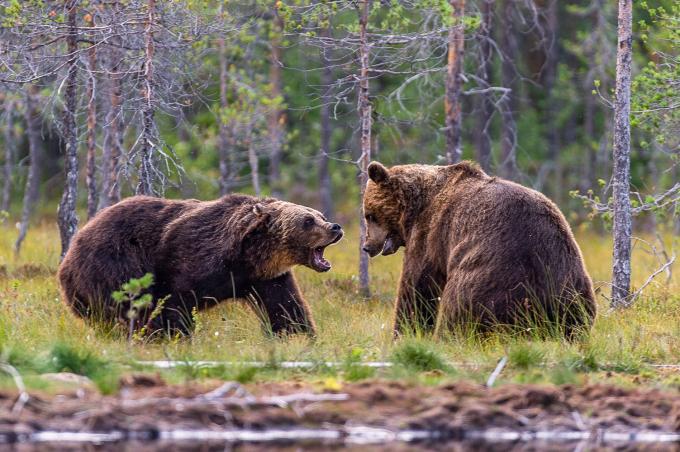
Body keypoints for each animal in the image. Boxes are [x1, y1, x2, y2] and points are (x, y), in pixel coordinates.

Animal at [57, 194, 342, 336]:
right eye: (307, 221)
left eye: (320, 215)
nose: (335, 227)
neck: (246, 256)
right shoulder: (190, 258)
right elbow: (174, 302)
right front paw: (171, 335)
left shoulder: (266, 278)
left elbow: (285, 307)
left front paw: (299, 334)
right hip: (113, 262)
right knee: (125, 303)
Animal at [362, 161, 596, 338]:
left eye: (369, 215)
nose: (366, 246)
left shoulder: (430, 235)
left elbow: (417, 284)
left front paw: (403, 332)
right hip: (569, 281)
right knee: (579, 316)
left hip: (496, 274)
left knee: (460, 305)